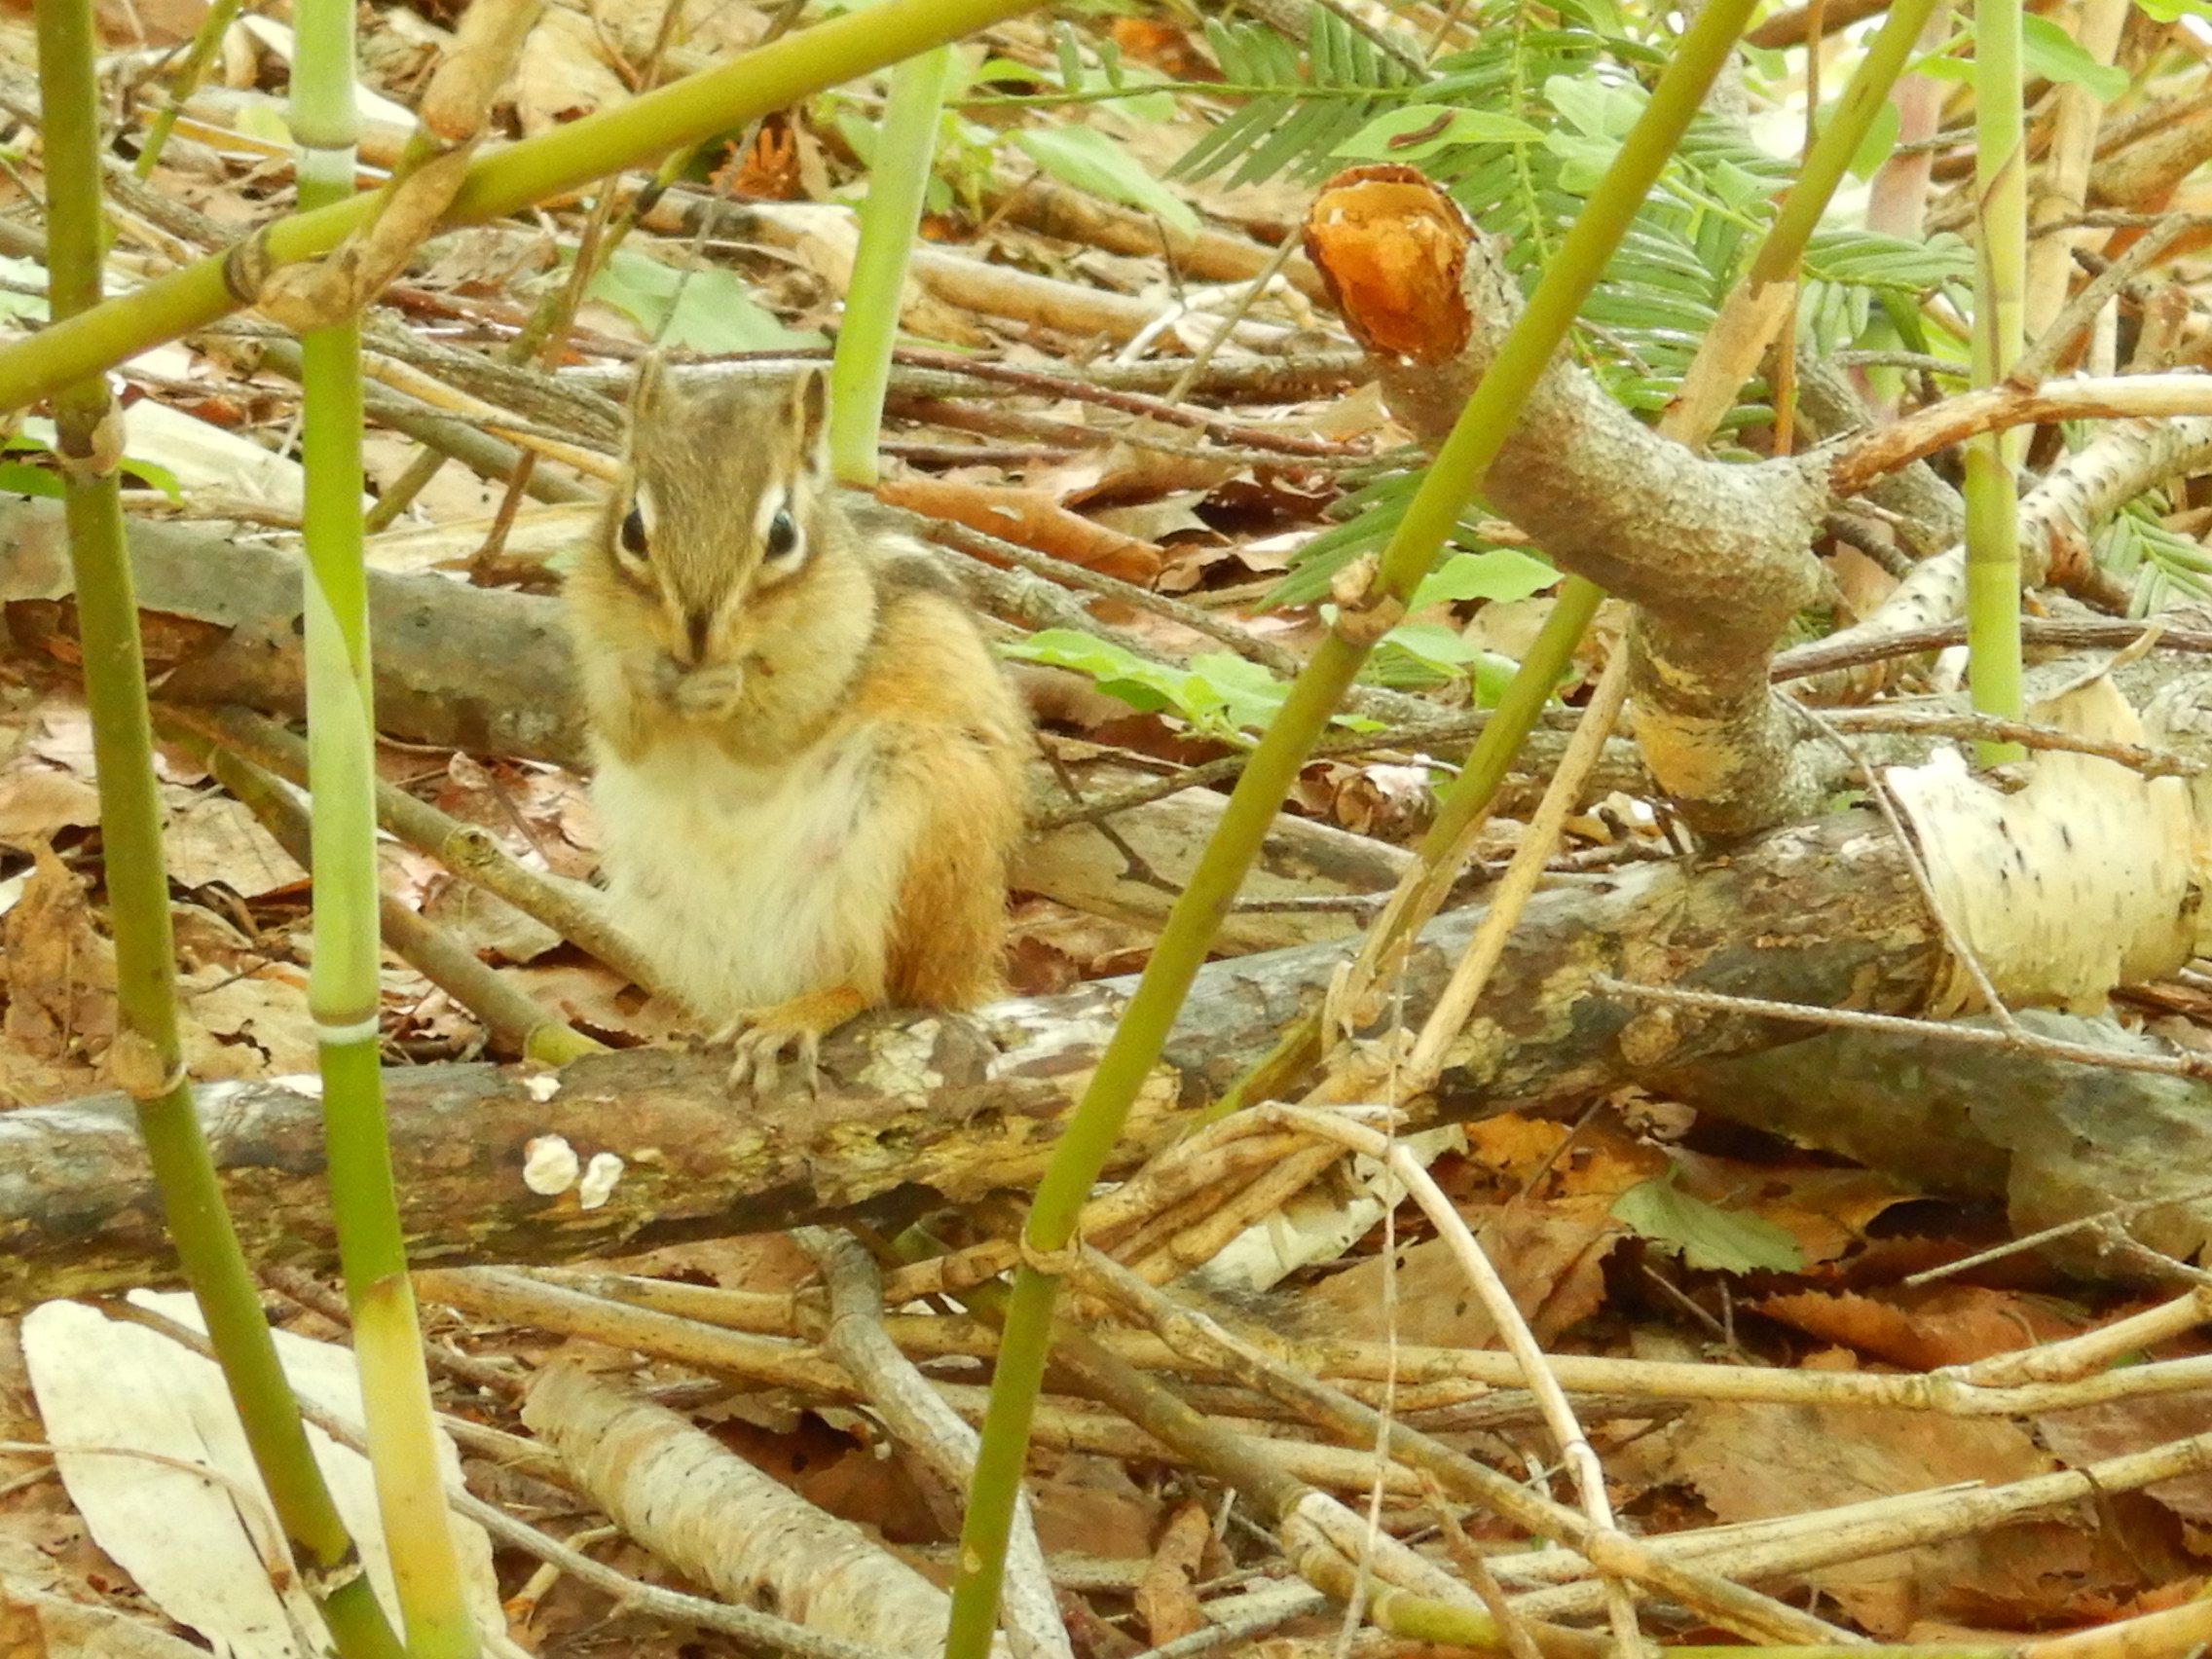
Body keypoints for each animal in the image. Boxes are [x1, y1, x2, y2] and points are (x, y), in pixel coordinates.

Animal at [565, 361, 1033, 1089]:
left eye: (782, 532)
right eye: (633, 529)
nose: (696, 640)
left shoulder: (836, 648)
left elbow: (774, 729)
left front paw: (725, 691)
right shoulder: (590, 638)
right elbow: (624, 722)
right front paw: (649, 680)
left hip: (918, 826)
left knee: (874, 985)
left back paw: (795, 1017)